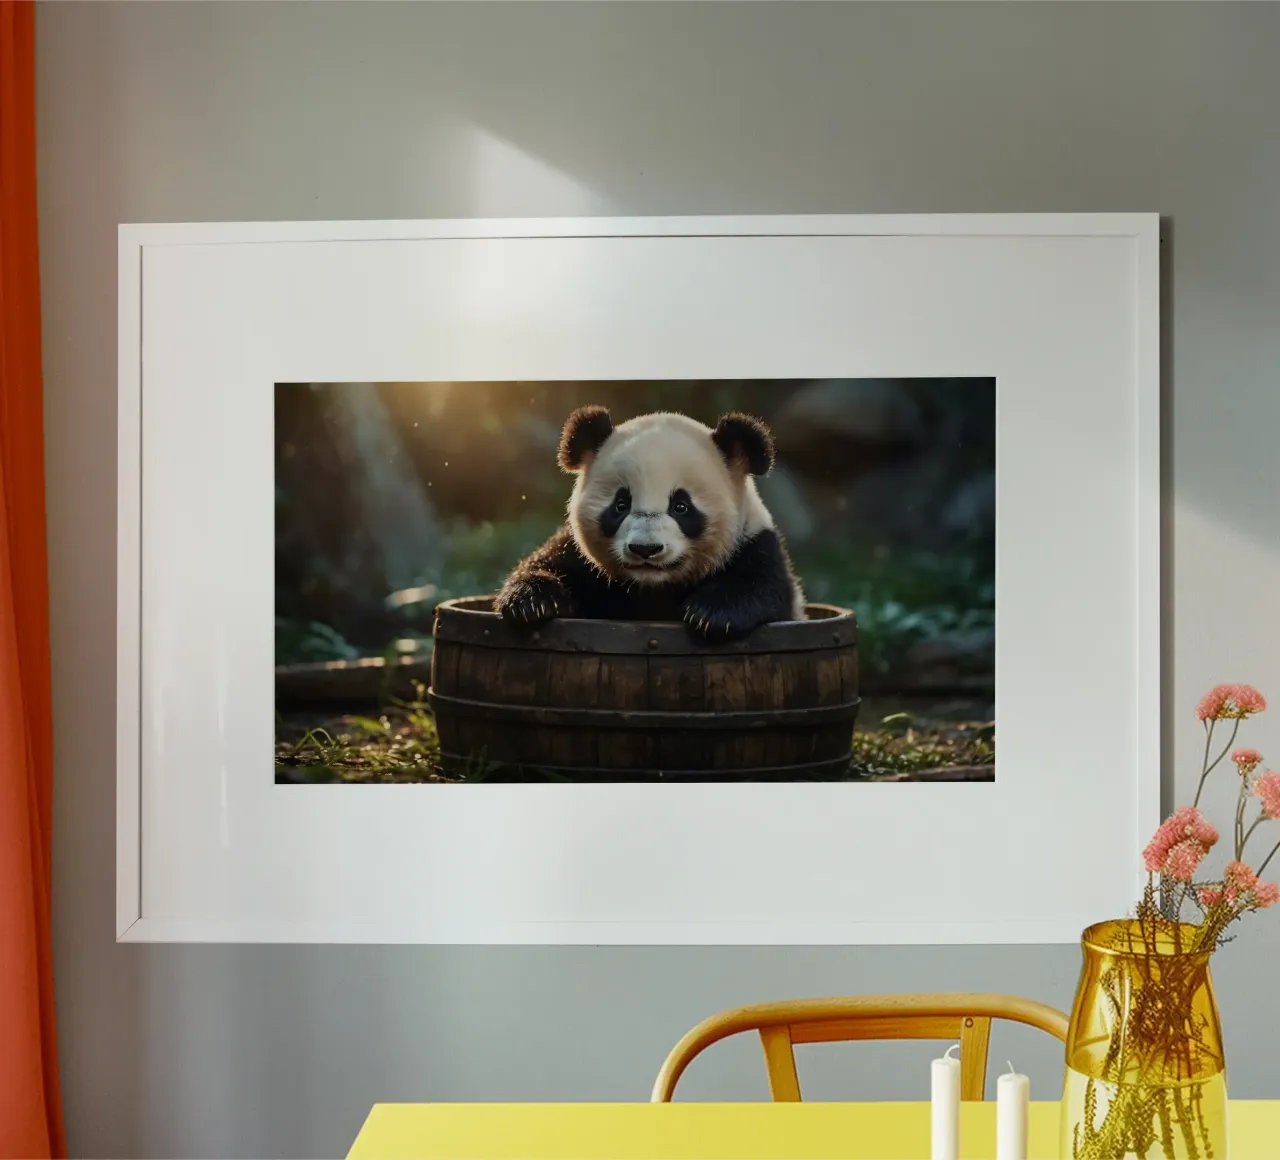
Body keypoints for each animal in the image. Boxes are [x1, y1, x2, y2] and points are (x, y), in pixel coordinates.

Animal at [493, 405, 806, 639]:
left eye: (681, 506)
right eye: (621, 504)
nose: (646, 549)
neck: (655, 587)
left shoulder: (755, 545)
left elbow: (763, 587)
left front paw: (711, 614)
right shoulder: (579, 557)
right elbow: (547, 563)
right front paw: (533, 602)